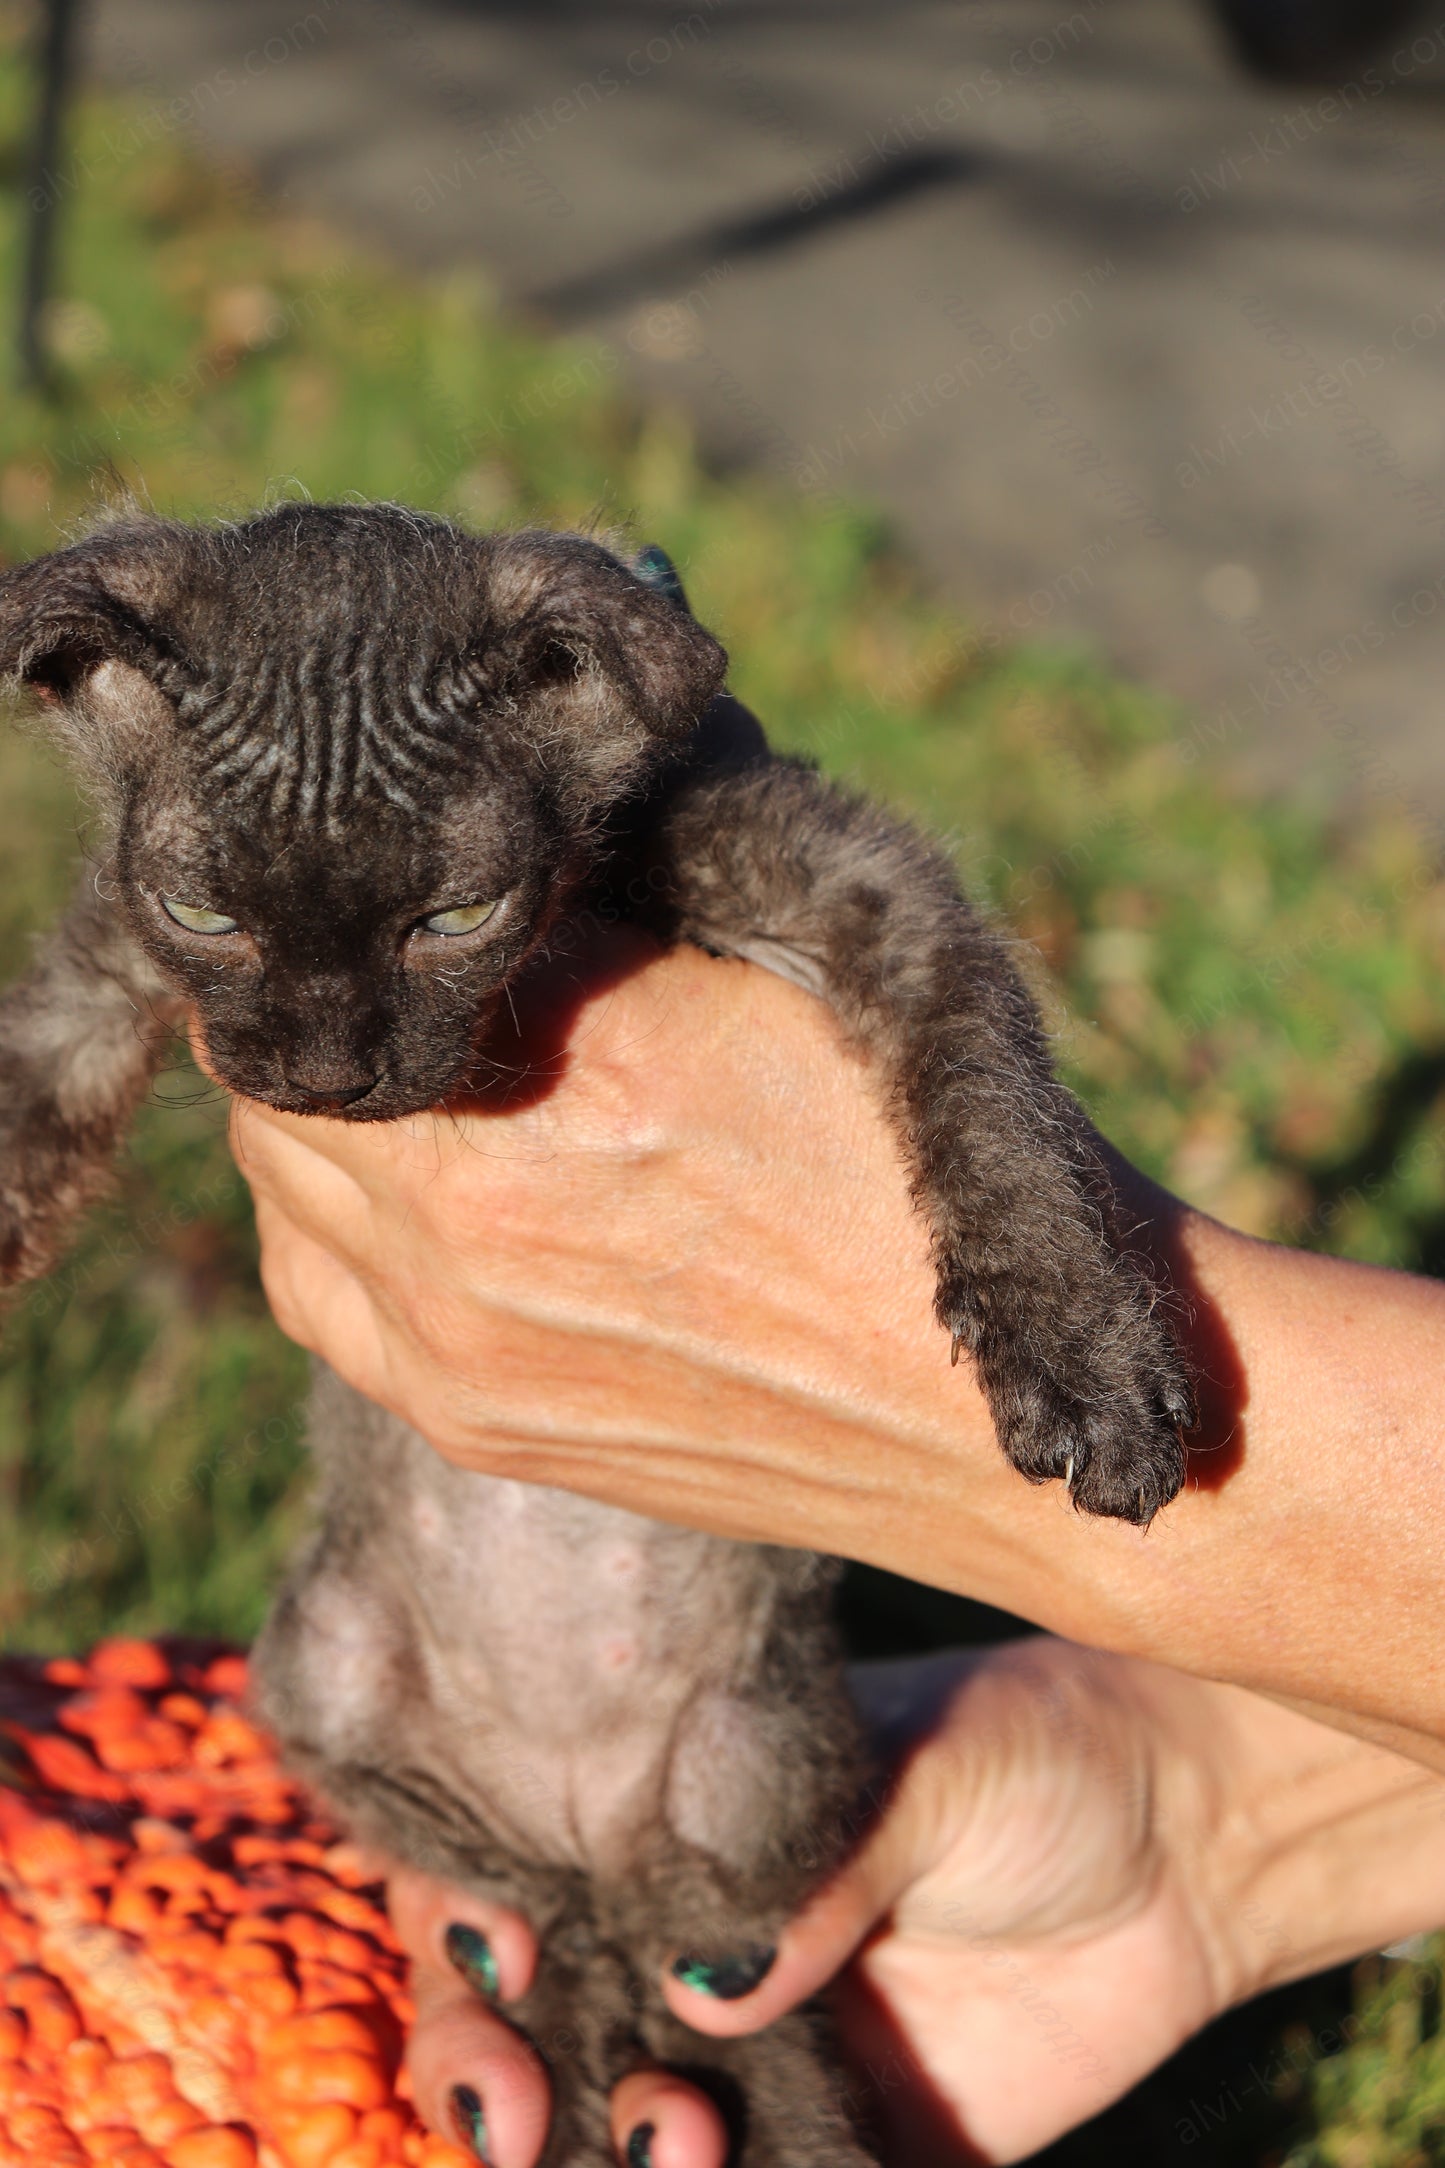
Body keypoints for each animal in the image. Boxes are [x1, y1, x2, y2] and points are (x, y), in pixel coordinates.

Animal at [0, 498, 1195, 2159]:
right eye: (204, 914)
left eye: (456, 916)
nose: (323, 1072)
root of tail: (586, 1821)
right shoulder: (98, 962)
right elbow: (21, 1104)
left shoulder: (862, 888)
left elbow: (990, 1088)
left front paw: (1079, 1352)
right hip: (318, 1677)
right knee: (535, 1914)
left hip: (757, 1774)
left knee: (689, 1943)